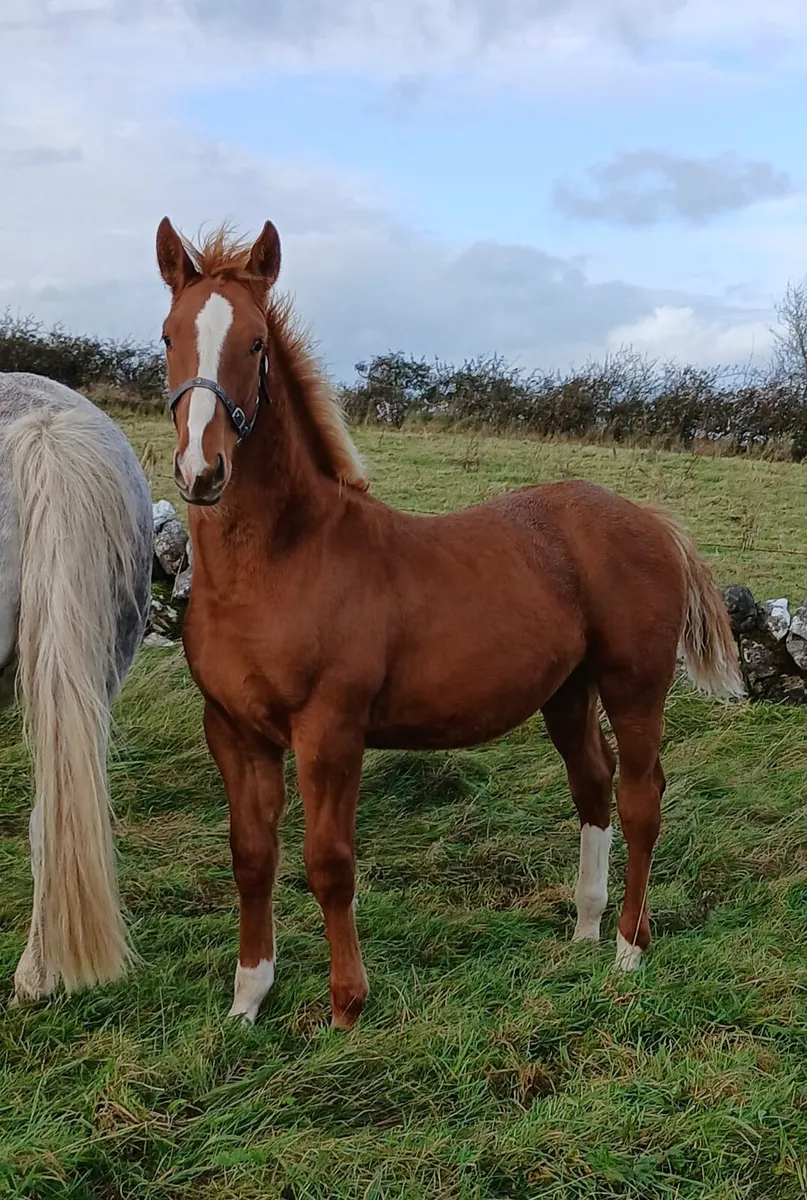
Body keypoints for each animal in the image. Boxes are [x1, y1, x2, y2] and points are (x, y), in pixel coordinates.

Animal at [156, 217, 744, 1029]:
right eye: (167, 336)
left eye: (255, 344)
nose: (201, 472)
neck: (279, 562)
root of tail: (649, 520)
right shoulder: (234, 731)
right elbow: (251, 857)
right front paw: (248, 1000)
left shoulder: (330, 731)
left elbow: (328, 863)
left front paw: (347, 1007)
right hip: (567, 691)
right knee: (592, 787)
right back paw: (585, 928)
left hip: (634, 688)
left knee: (639, 798)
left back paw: (629, 949)